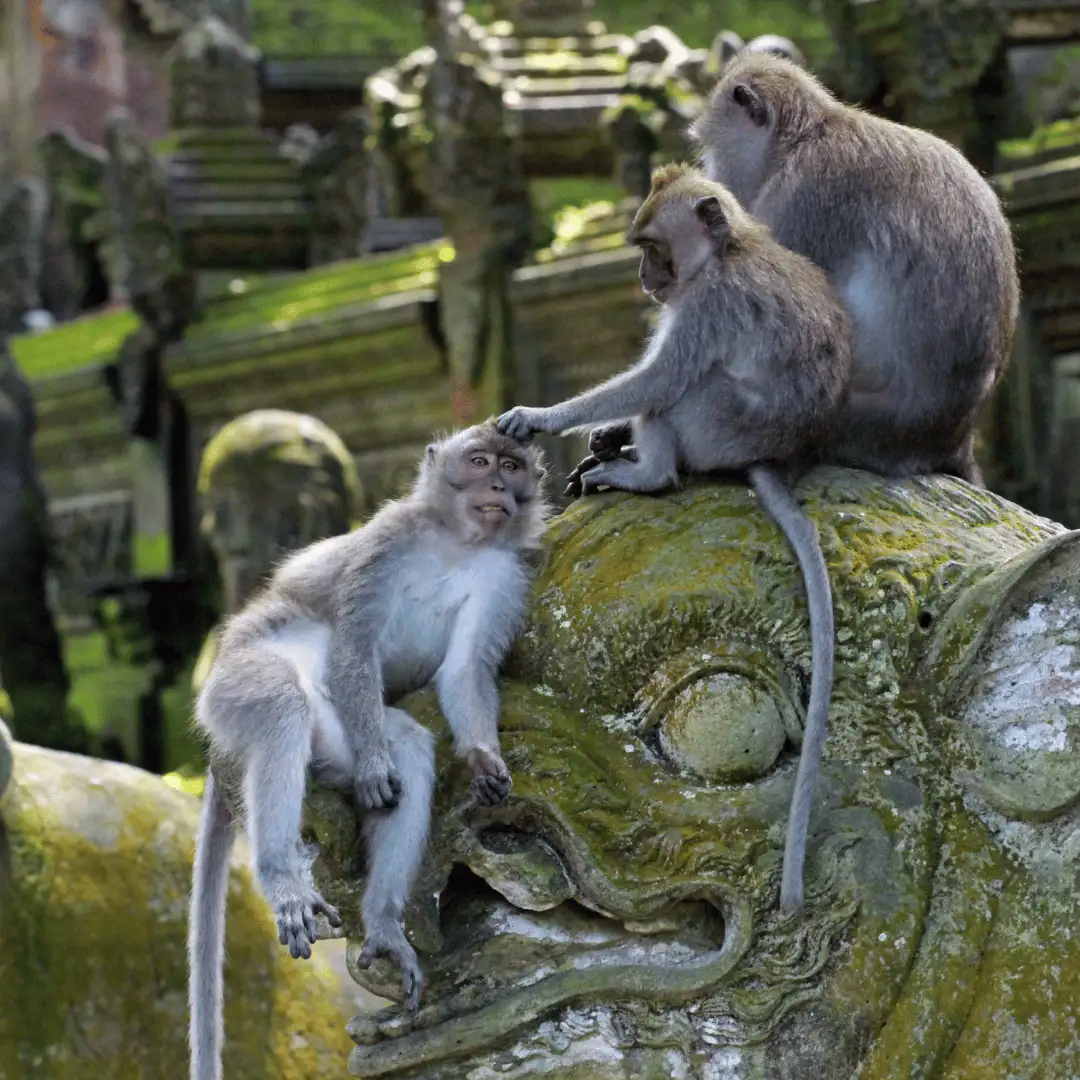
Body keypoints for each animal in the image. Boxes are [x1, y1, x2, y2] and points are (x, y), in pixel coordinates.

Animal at [187, 423, 548, 1080]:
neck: (455, 543)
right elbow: (356, 642)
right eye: (478, 461)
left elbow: (465, 670)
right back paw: (282, 877)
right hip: (236, 682)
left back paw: (382, 923)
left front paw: (483, 759)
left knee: (407, 744)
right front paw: (383, 769)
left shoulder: (506, 577)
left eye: (511, 465)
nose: (496, 487)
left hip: (339, 730)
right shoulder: (387, 543)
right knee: (282, 706)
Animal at [497, 163, 854, 913]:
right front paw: (602, 433)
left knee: (680, 389)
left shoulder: (707, 306)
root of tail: (776, 456)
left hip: (718, 424)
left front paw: (543, 417)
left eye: (654, 247)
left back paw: (648, 473)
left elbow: (658, 378)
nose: (643, 277)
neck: (728, 253)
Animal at [691, 52, 1020, 485]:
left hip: (853, 425)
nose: (713, 178)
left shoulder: (803, 198)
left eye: (710, 147)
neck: (802, 138)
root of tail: (953, 439)